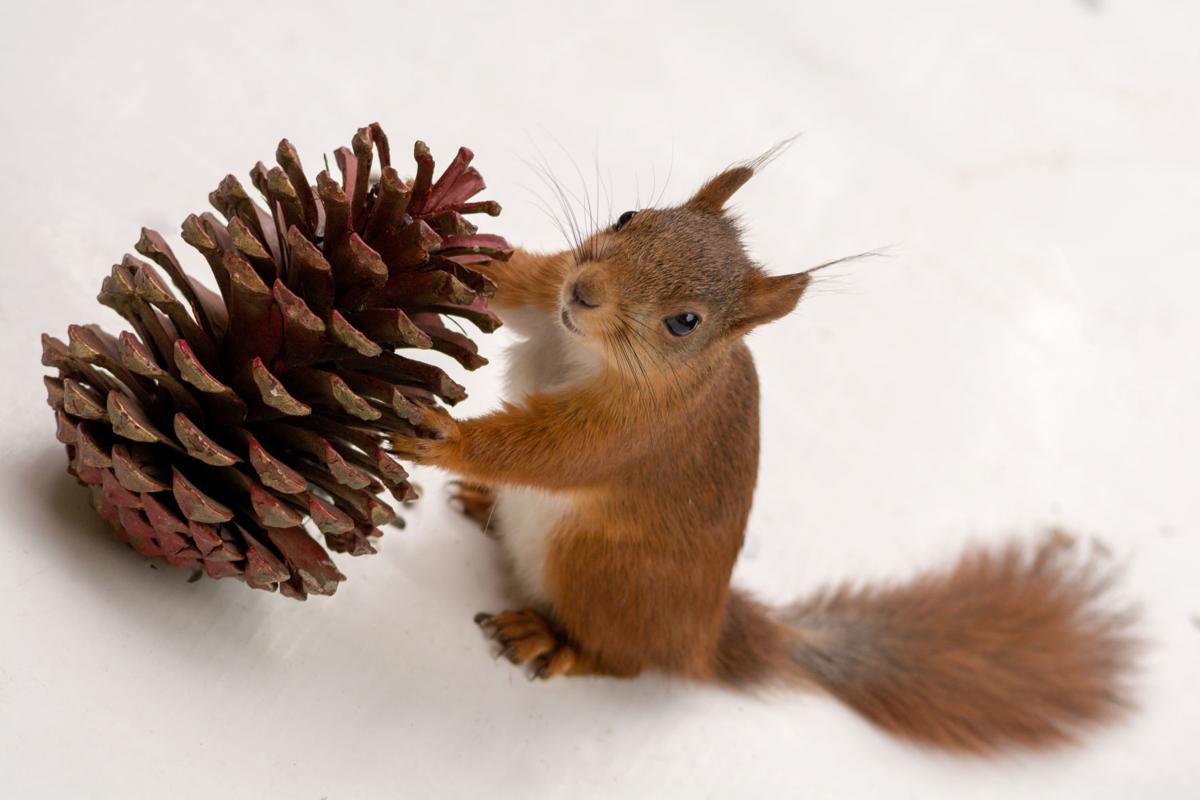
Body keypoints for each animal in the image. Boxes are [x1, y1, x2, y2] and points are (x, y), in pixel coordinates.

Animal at [392, 156, 1137, 754]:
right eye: (630, 216)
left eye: (685, 322)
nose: (585, 292)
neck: (581, 346)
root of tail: (705, 639)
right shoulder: (547, 291)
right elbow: (517, 282)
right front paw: (441, 239)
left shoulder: (640, 432)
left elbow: (554, 453)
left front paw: (444, 438)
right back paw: (483, 501)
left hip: (601, 571)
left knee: (623, 659)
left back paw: (552, 640)